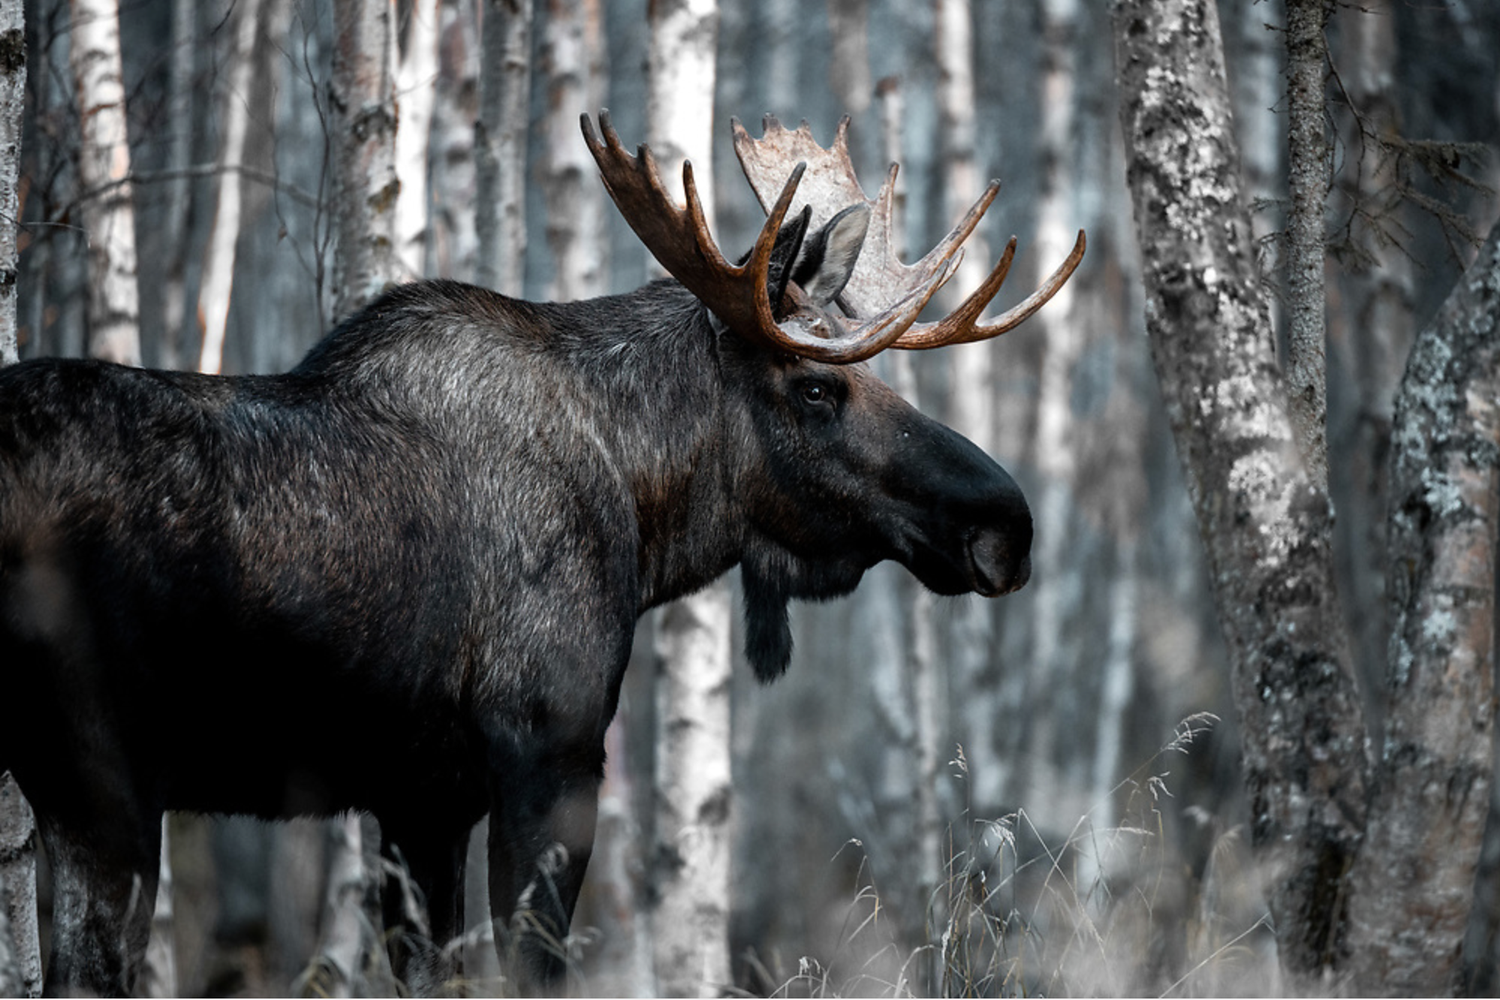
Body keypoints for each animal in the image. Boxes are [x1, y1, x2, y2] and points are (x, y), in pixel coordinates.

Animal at [0, 112, 1083, 996]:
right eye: (817, 388)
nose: (1008, 523)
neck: (645, 517)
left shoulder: (419, 801)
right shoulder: (548, 757)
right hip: (102, 775)